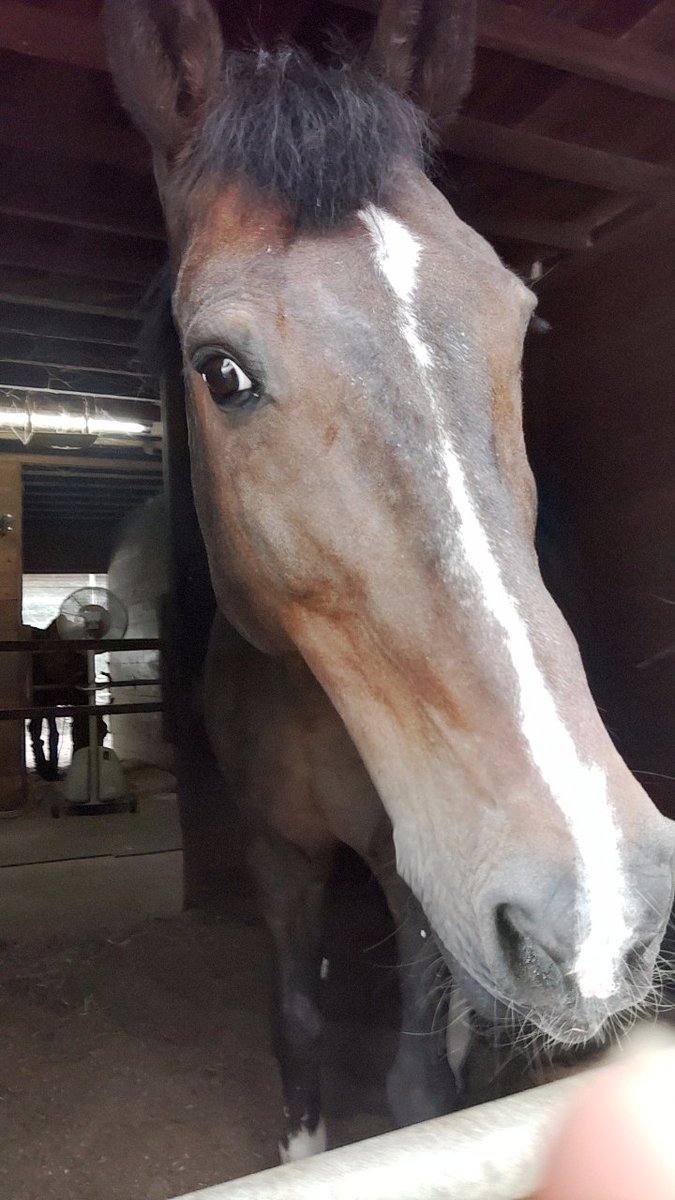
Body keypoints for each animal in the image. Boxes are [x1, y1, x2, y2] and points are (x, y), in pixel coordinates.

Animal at [106, 0, 675, 1162]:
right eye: (218, 369)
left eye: (519, 323)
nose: (597, 911)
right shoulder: (280, 857)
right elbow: (296, 1025)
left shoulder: (413, 873)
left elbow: (420, 1091)